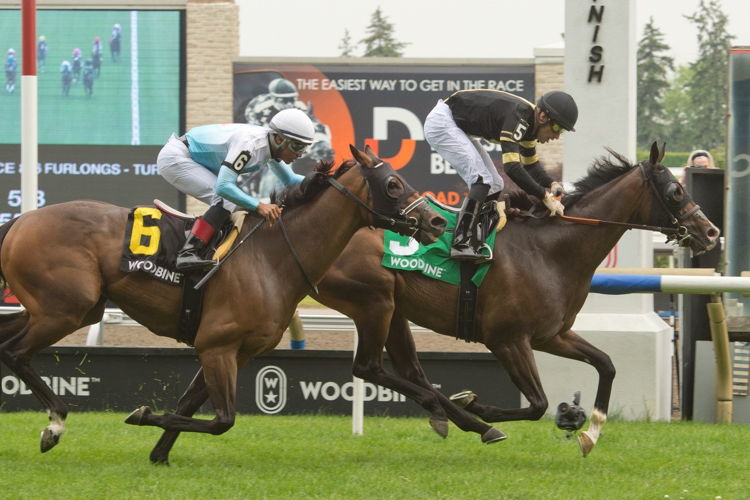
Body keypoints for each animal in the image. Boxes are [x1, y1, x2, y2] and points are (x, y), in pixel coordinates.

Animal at [312, 142, 724, 458]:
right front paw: (487, 407)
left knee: (411, 371)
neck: (549, 251)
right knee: (369, 368)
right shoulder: (507, 340)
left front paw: (589, 431)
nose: (711, 232)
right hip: (373, 303)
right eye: (675, 191)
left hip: (394, 309)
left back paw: (454, 415)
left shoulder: (551, 335)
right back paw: (471, 418)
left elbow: (606, 364)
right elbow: (537, 404)